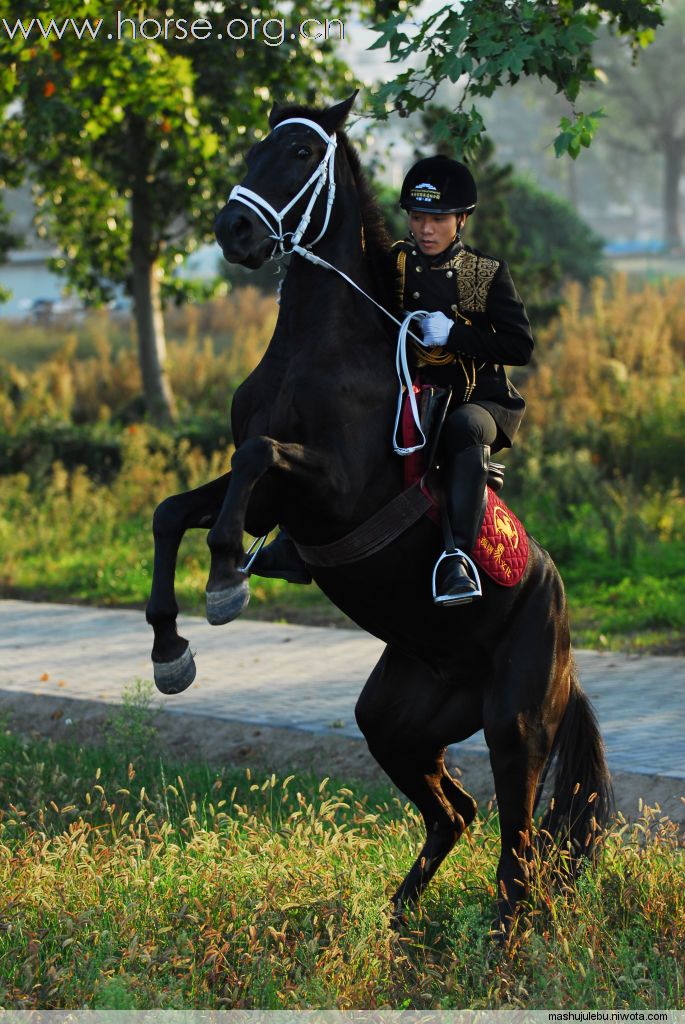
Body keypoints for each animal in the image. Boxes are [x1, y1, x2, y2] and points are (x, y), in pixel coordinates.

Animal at [145, 96, 610, 937]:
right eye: (256, 145)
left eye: (300, 152)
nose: (234, 231)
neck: (317, 351)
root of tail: (566, 652)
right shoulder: (273, 495)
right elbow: (174, 511)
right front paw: (171, 650)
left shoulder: (328, 488)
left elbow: (257, 457)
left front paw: (227, 576)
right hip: (396, 723)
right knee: (454, 814)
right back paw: (397, 921)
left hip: (515, 726)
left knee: (517, 854)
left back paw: (496, 941)